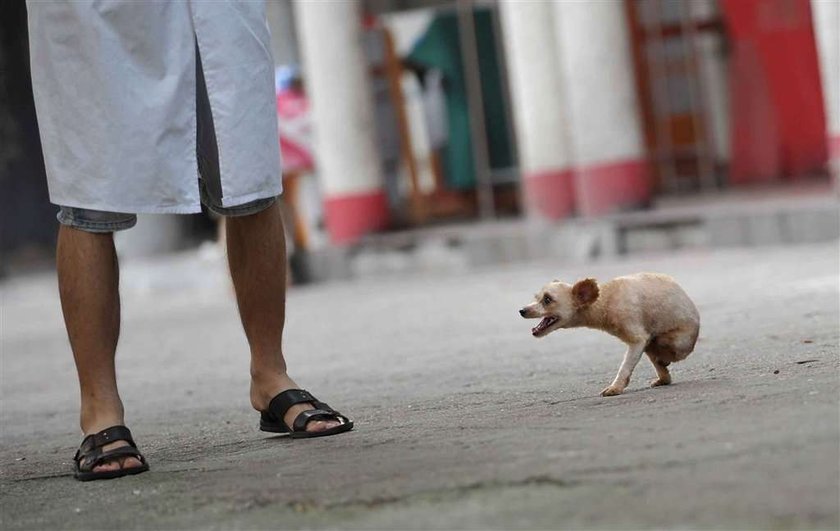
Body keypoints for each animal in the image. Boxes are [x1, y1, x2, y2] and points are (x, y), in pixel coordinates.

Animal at [520, 274, 700, 394]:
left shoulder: (637, 338)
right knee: (657, 359)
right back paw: (662, 377)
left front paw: (615, 388)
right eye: (536, 297)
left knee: (666, 347)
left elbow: (625, 366)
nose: (522, 310)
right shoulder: (640, 341)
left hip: (676, 341)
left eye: (547, 300)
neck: (604, 302)